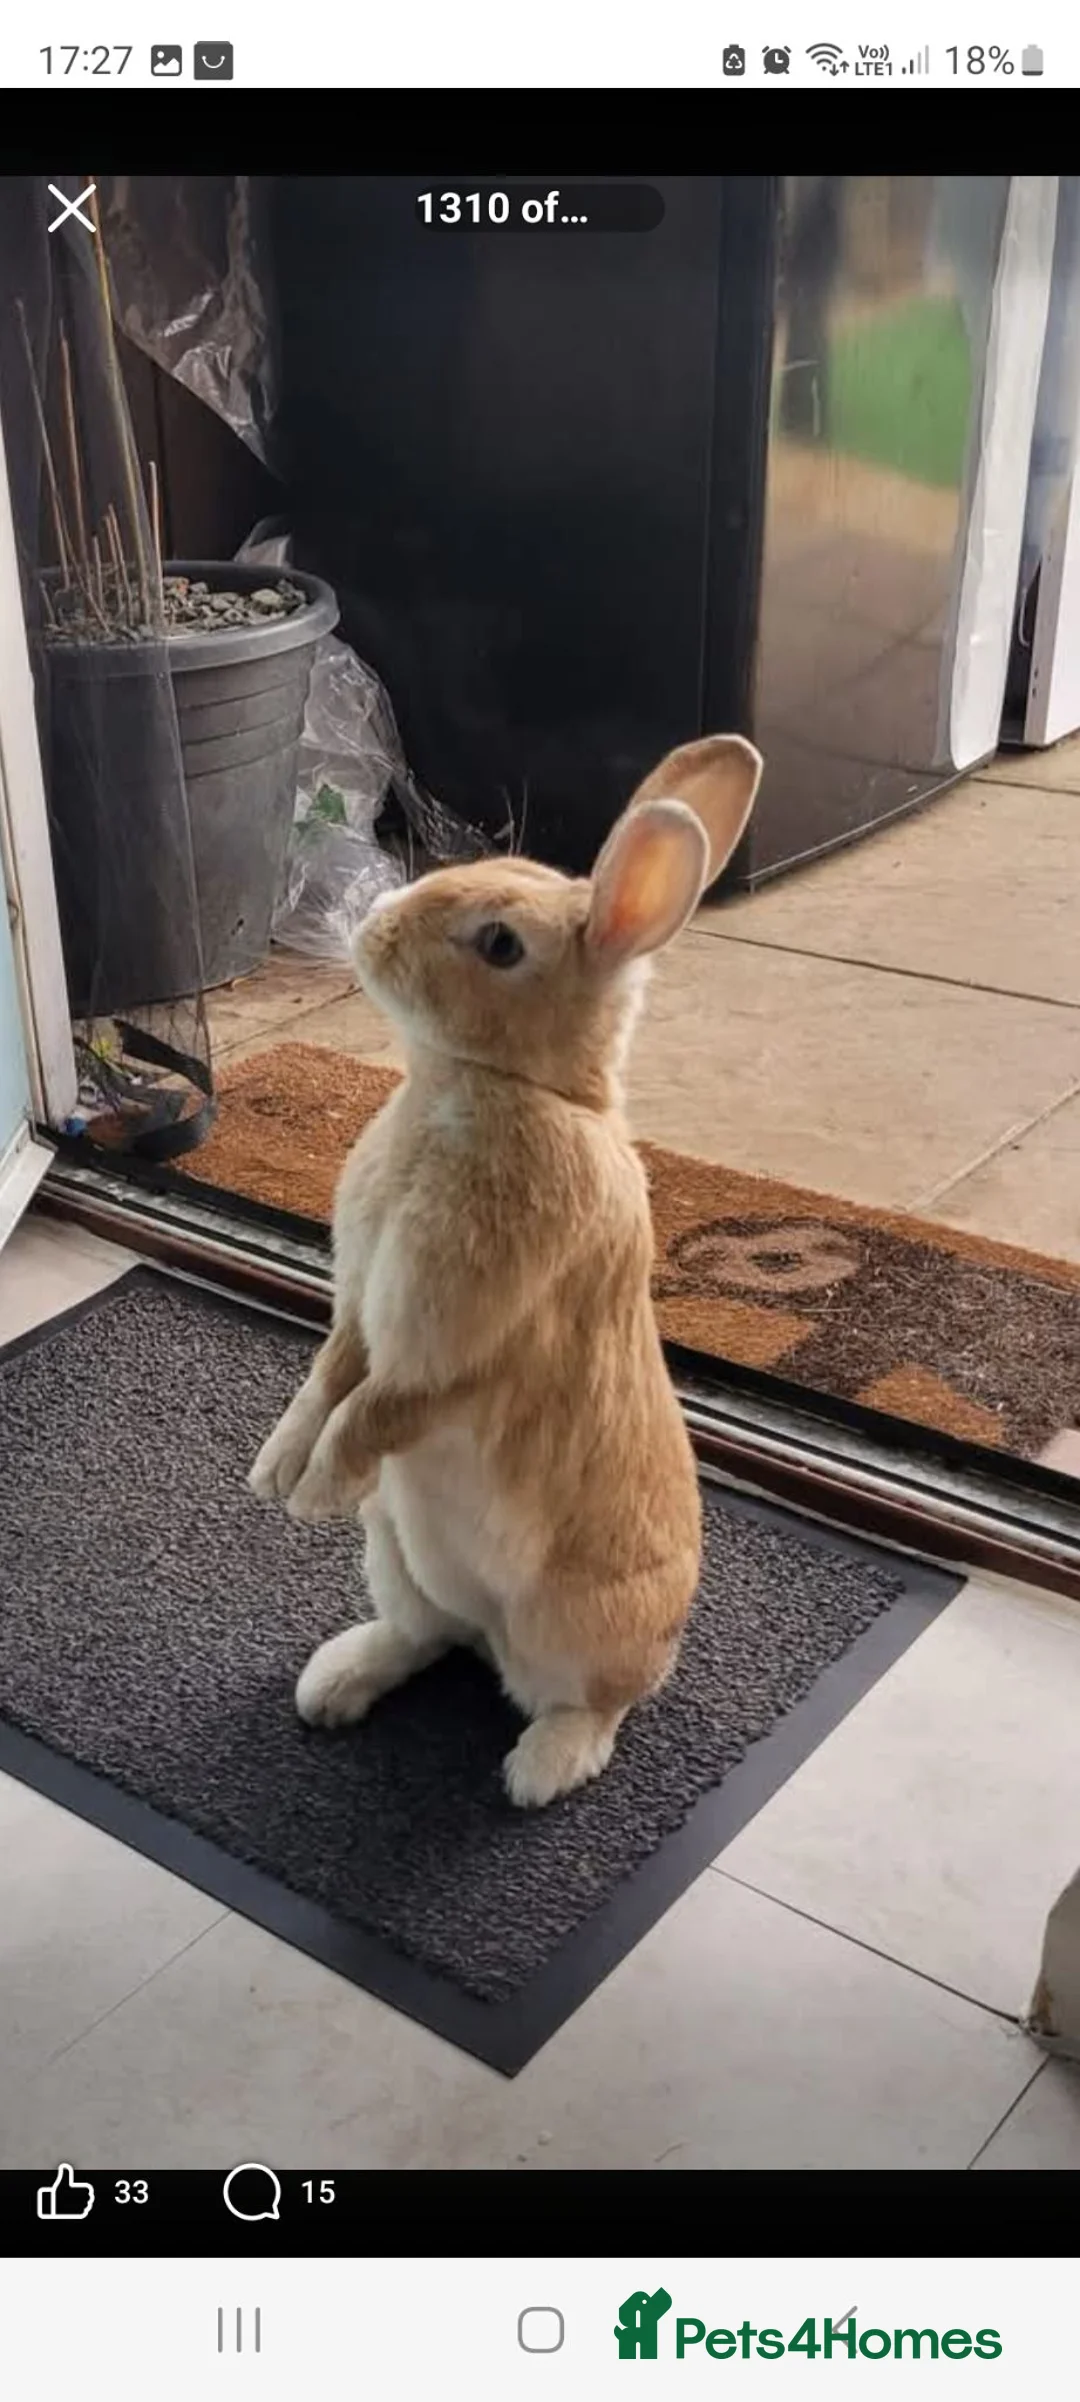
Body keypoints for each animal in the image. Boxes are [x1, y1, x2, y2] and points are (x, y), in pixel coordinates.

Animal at [249, 733, 763, 1807]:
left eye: (500, 945)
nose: (372, 929)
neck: (493, 1086)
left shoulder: (464, 1339)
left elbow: (381, 1408)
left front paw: (316, 1493)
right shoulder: (361, 1307)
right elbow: (329, 1375)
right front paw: (275, 1472)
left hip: (575, 1626)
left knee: (589, 1704)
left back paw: (537, 1771)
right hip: (397, 1556)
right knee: (429, 1636)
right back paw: (336, 1681)